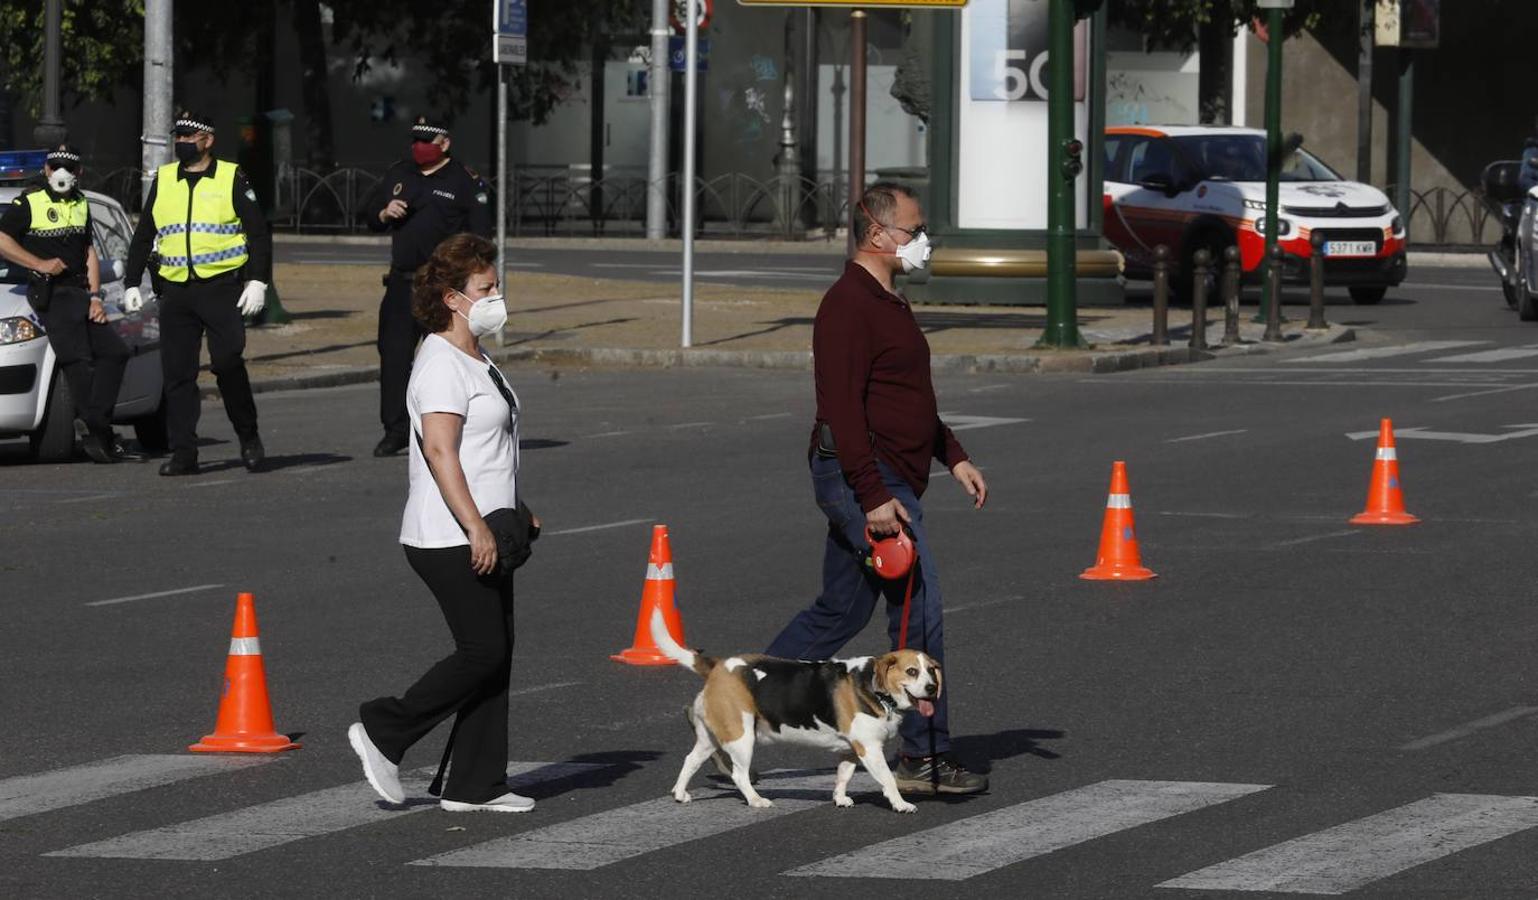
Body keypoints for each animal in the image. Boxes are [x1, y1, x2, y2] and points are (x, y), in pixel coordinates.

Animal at [645, 606, 941, 812]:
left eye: (931, 671)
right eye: (912, 671)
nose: (930, 688)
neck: (874, 688)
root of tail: (718, 665)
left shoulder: (850, 749)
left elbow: (843, 775)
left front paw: (840, 798)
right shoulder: (870, 749)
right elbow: (887, 780)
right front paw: (901, 804)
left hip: (713, 737)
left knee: (690, 760)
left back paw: (680, 793)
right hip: (742, 738)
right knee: (739, 774)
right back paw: (756, 800)